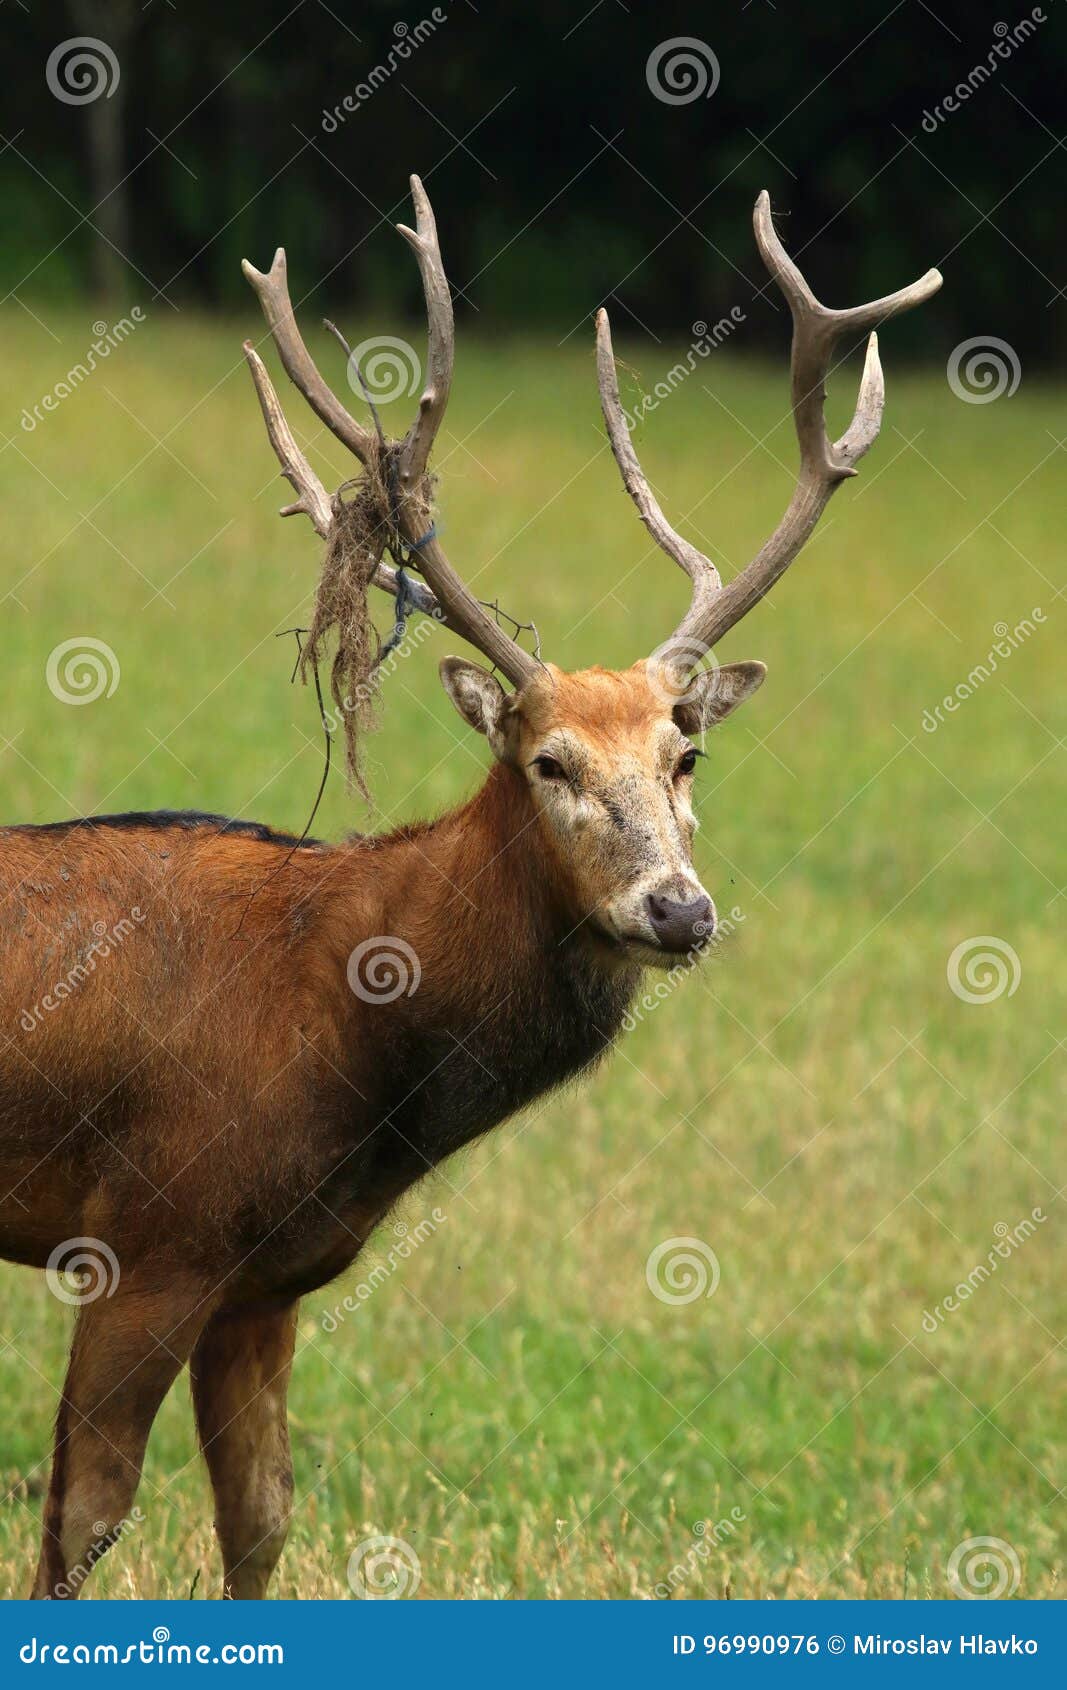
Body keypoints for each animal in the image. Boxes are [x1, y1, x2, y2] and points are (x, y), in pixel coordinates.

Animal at [0, 178, 940, 1599]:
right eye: (548, 760)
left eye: (684, 753)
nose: (679, 909)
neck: (334, 1019)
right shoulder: (149, 1232)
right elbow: (80, 1522)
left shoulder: (266, 1276)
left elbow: (260, 1523)